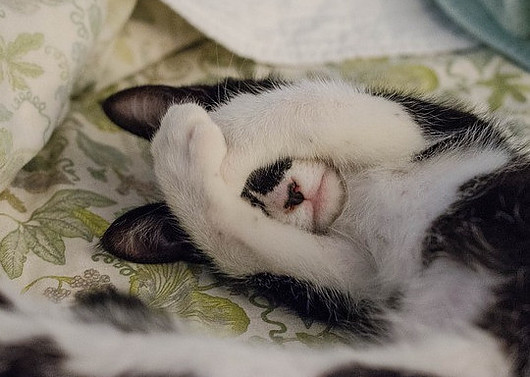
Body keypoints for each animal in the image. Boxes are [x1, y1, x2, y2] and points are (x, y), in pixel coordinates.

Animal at [0, 78, 524, 374]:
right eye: (254, 201)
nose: (287, 194)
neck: (350, 201)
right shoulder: (360, 281)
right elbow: (264, 253)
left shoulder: (436, 124)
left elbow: (323, 103)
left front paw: (226, 129)